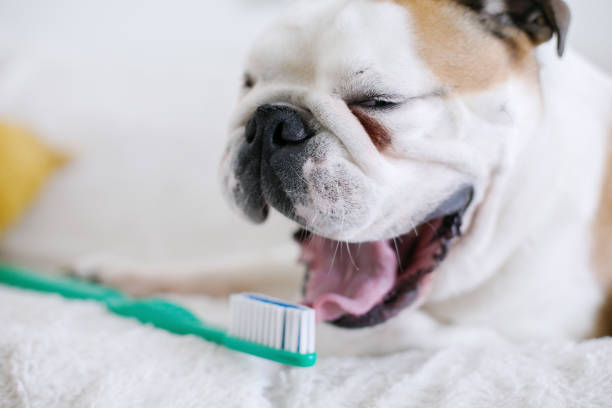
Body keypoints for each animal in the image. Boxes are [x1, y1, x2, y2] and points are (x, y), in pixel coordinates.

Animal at [75, 0, 612, 350]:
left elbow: (389, 333)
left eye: (380, 102)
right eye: (249, 84)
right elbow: (233, 268)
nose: (270, 121)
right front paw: (124, 275)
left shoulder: (527, 337)